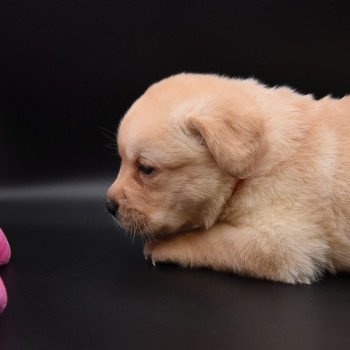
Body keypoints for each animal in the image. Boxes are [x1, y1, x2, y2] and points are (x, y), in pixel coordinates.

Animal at [106, 74, 350, 284]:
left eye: (146, 169)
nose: (109, 206)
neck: (257, 162)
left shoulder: (280, 244)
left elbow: (211, 240)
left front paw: (163, 245)